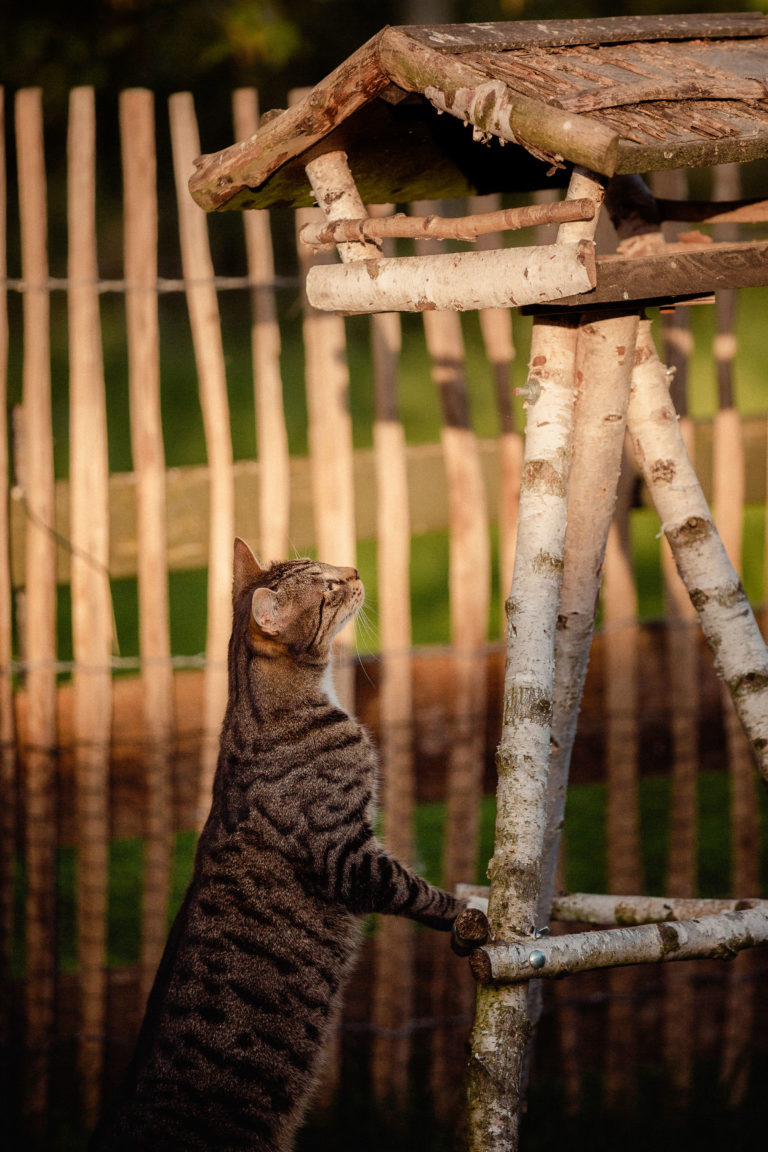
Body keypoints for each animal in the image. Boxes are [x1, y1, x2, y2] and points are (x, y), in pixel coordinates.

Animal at [90, 539, 462, 1152]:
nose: (352, 570)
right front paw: (470, 912)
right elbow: (417, 891)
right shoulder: (347, 858)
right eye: (328, 586)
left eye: (329, 565)